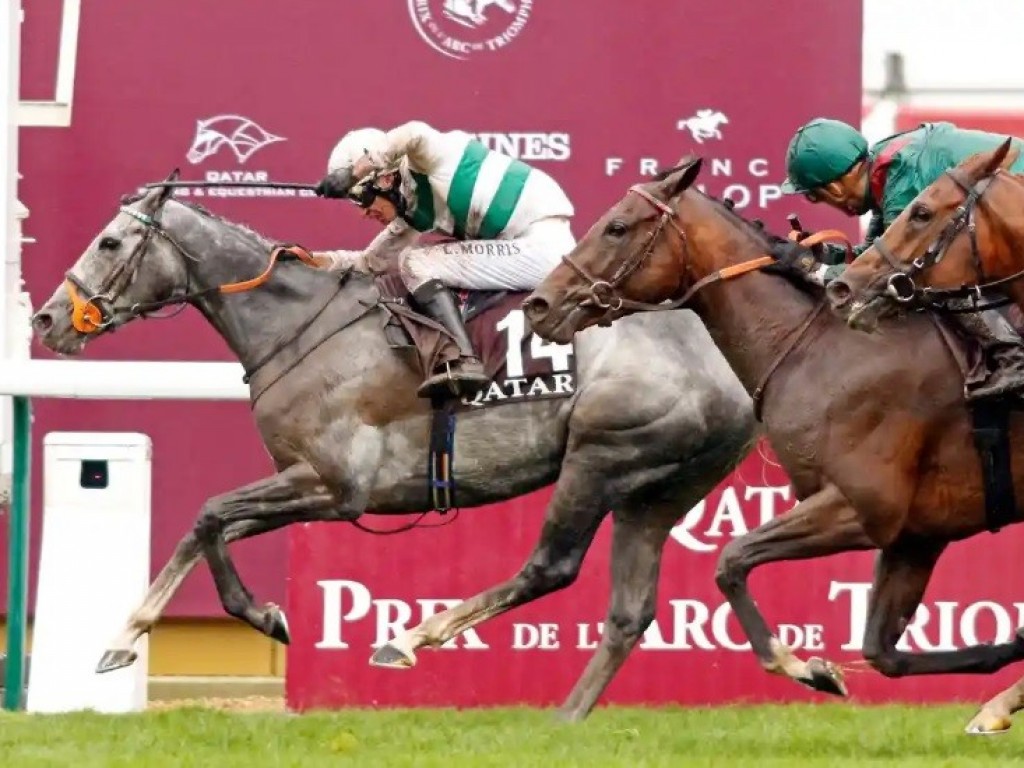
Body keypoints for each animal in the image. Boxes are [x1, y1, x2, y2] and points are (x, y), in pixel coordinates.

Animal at [32, 171, 757, 724]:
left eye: (110, 241)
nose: (46, 319)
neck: (301, 326)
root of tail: (733, 371)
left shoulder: (335, 484)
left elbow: (210, 514)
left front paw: (266, 616)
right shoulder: (305, 483)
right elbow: (202, 530)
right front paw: (123, 639)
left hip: (601, 456)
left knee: (550, 568)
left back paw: (410, 639)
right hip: (658, 491)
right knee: (628, 613)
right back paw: (568, 716)